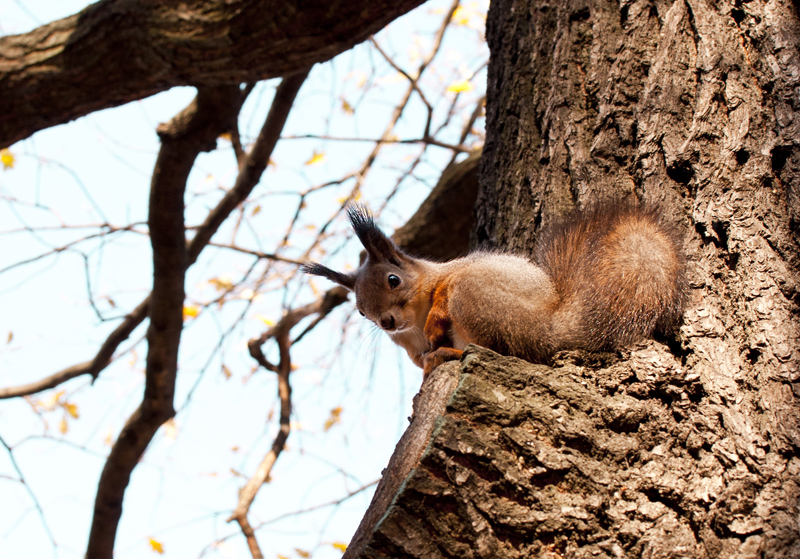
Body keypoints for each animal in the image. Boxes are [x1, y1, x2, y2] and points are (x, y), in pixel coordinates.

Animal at [304, 201, 692, 376]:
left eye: (393, 280)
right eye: (360, 311)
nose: (386, 322)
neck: (412, 322)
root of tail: (551, 329)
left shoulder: (453, 275)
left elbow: (444, 292)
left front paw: (435, 322)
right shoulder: (408, 347)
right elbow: (421, 360)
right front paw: (429, 362)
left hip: (478, 298)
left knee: (498, 347)